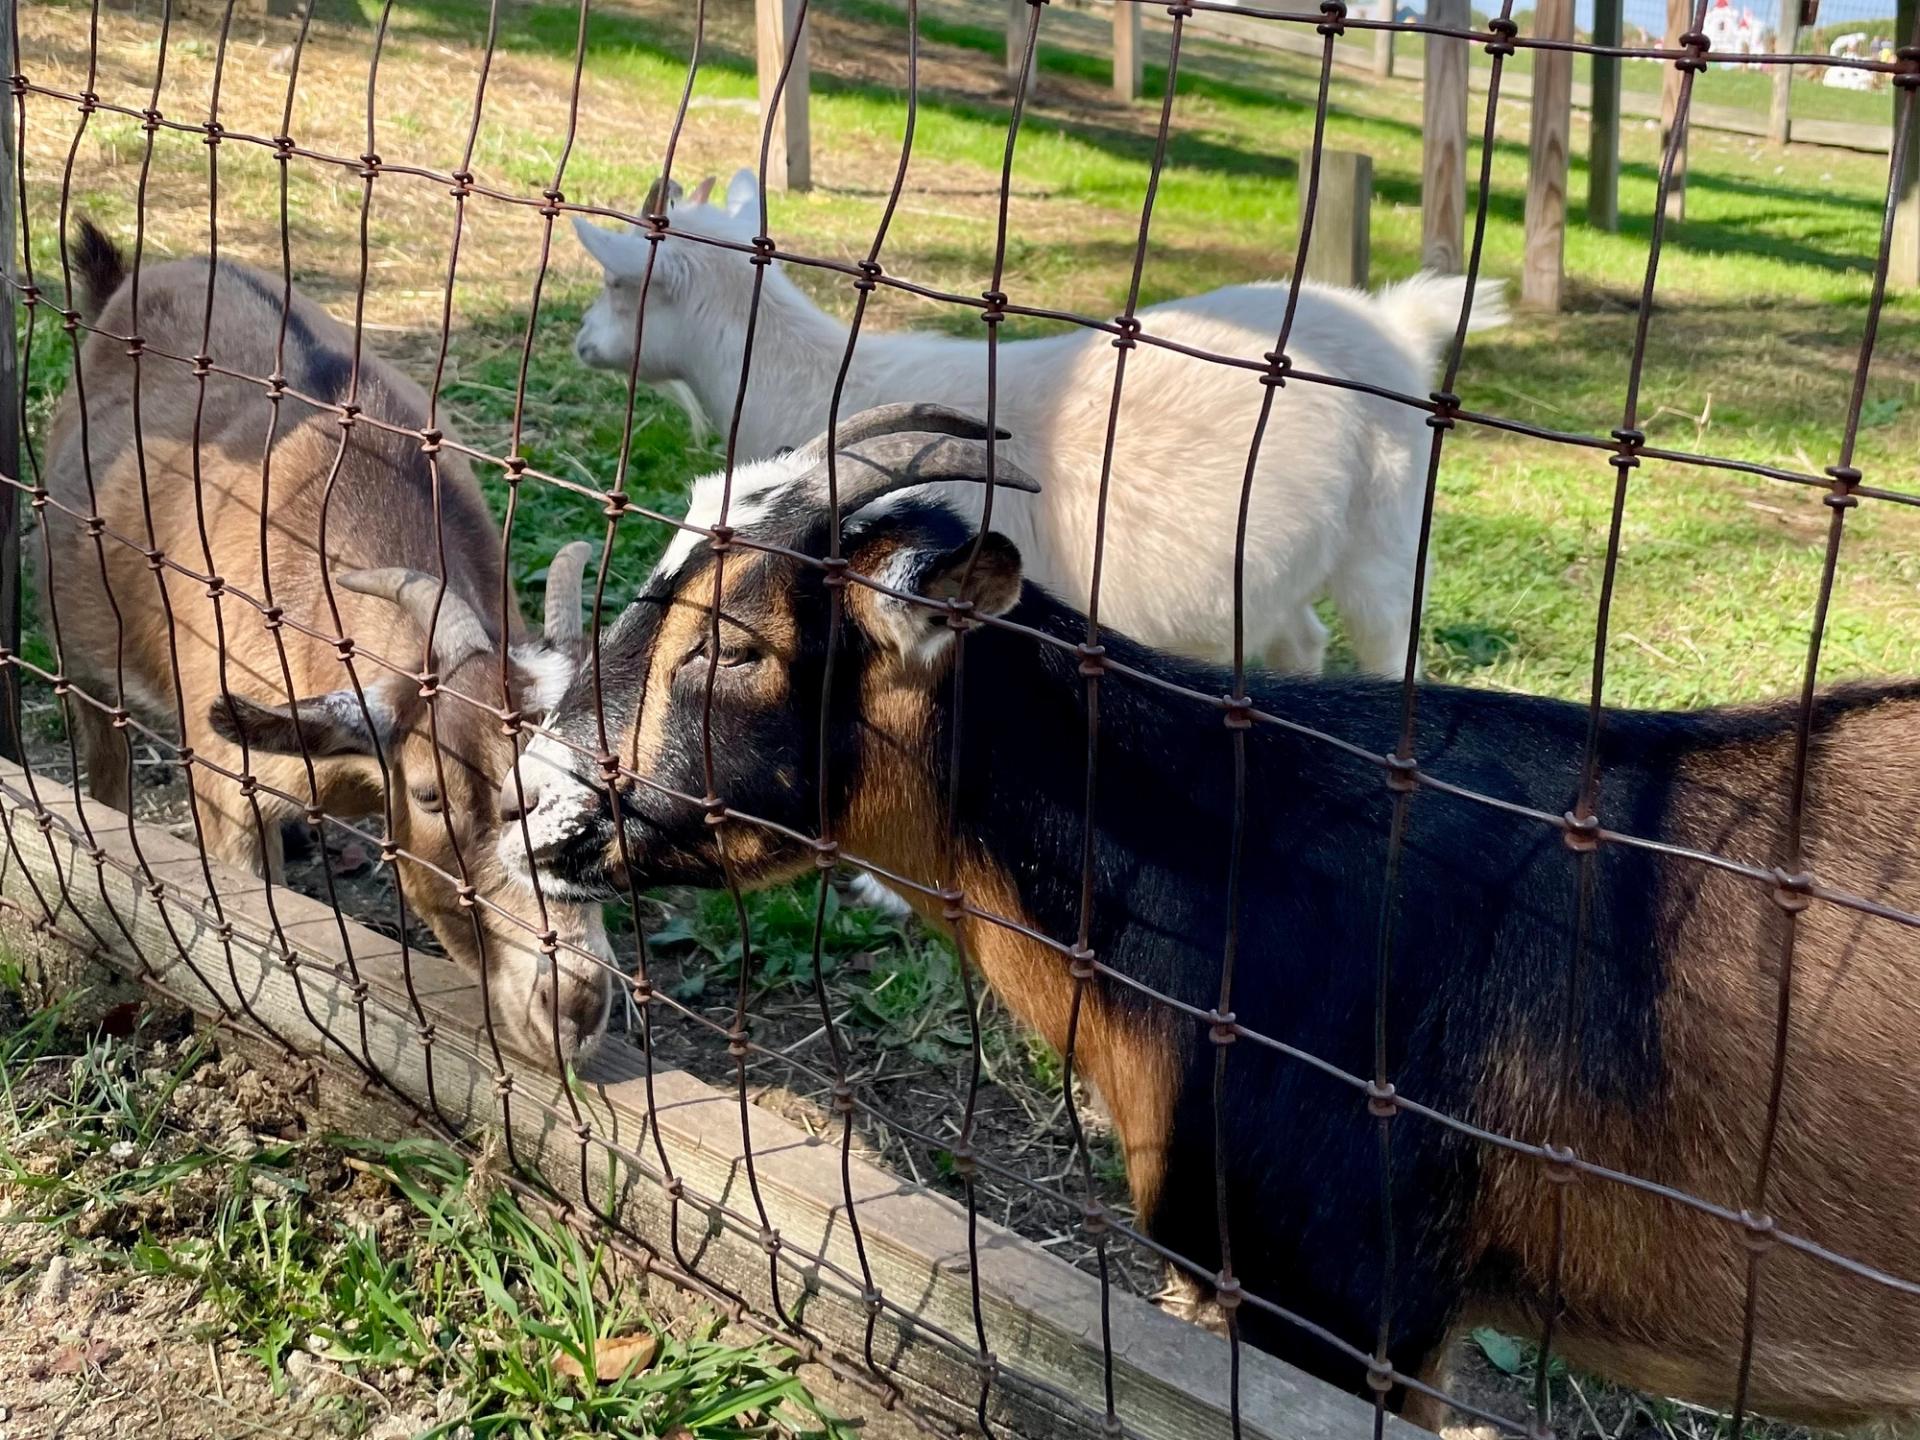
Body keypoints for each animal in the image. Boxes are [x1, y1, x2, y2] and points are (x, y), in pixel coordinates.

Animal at [571, 169, 1508, 676]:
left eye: (618, 284)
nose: (581, 343)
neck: (820, 379)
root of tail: (1398, 325)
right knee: (1300, 643)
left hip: (1385, 537)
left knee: (1388, 650)